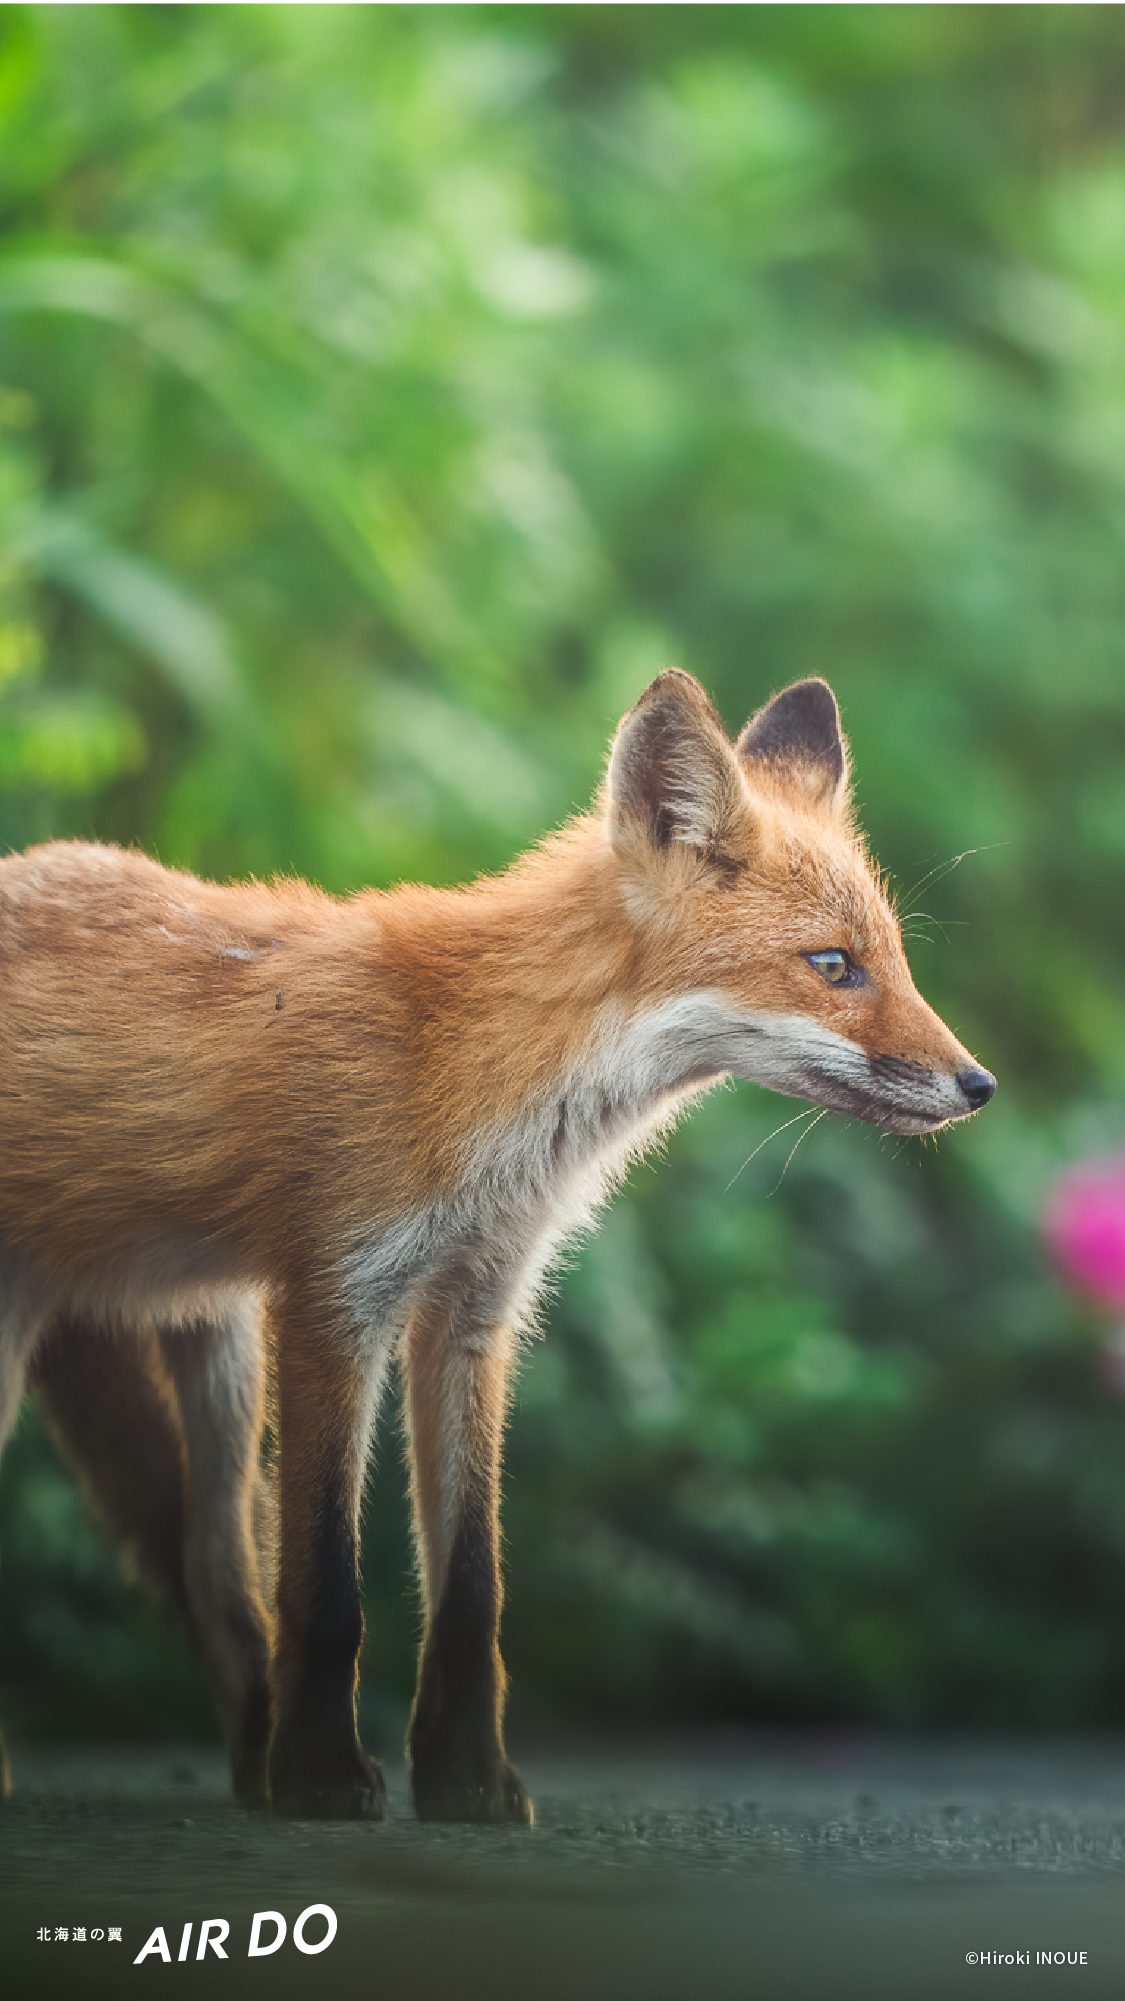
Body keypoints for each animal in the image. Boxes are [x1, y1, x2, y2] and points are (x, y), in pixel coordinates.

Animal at [0, 672, 988, 1816]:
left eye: (897, 962)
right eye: (833, 966)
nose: (978, 1085)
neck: (472, 1074)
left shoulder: (473, 1313)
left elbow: (472, 1589)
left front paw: (466, 1779)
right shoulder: (334, 1301)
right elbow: (326, 1592)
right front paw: (324, 1776)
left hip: (216, 1351)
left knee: (216, 1579)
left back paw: (251, 1767)